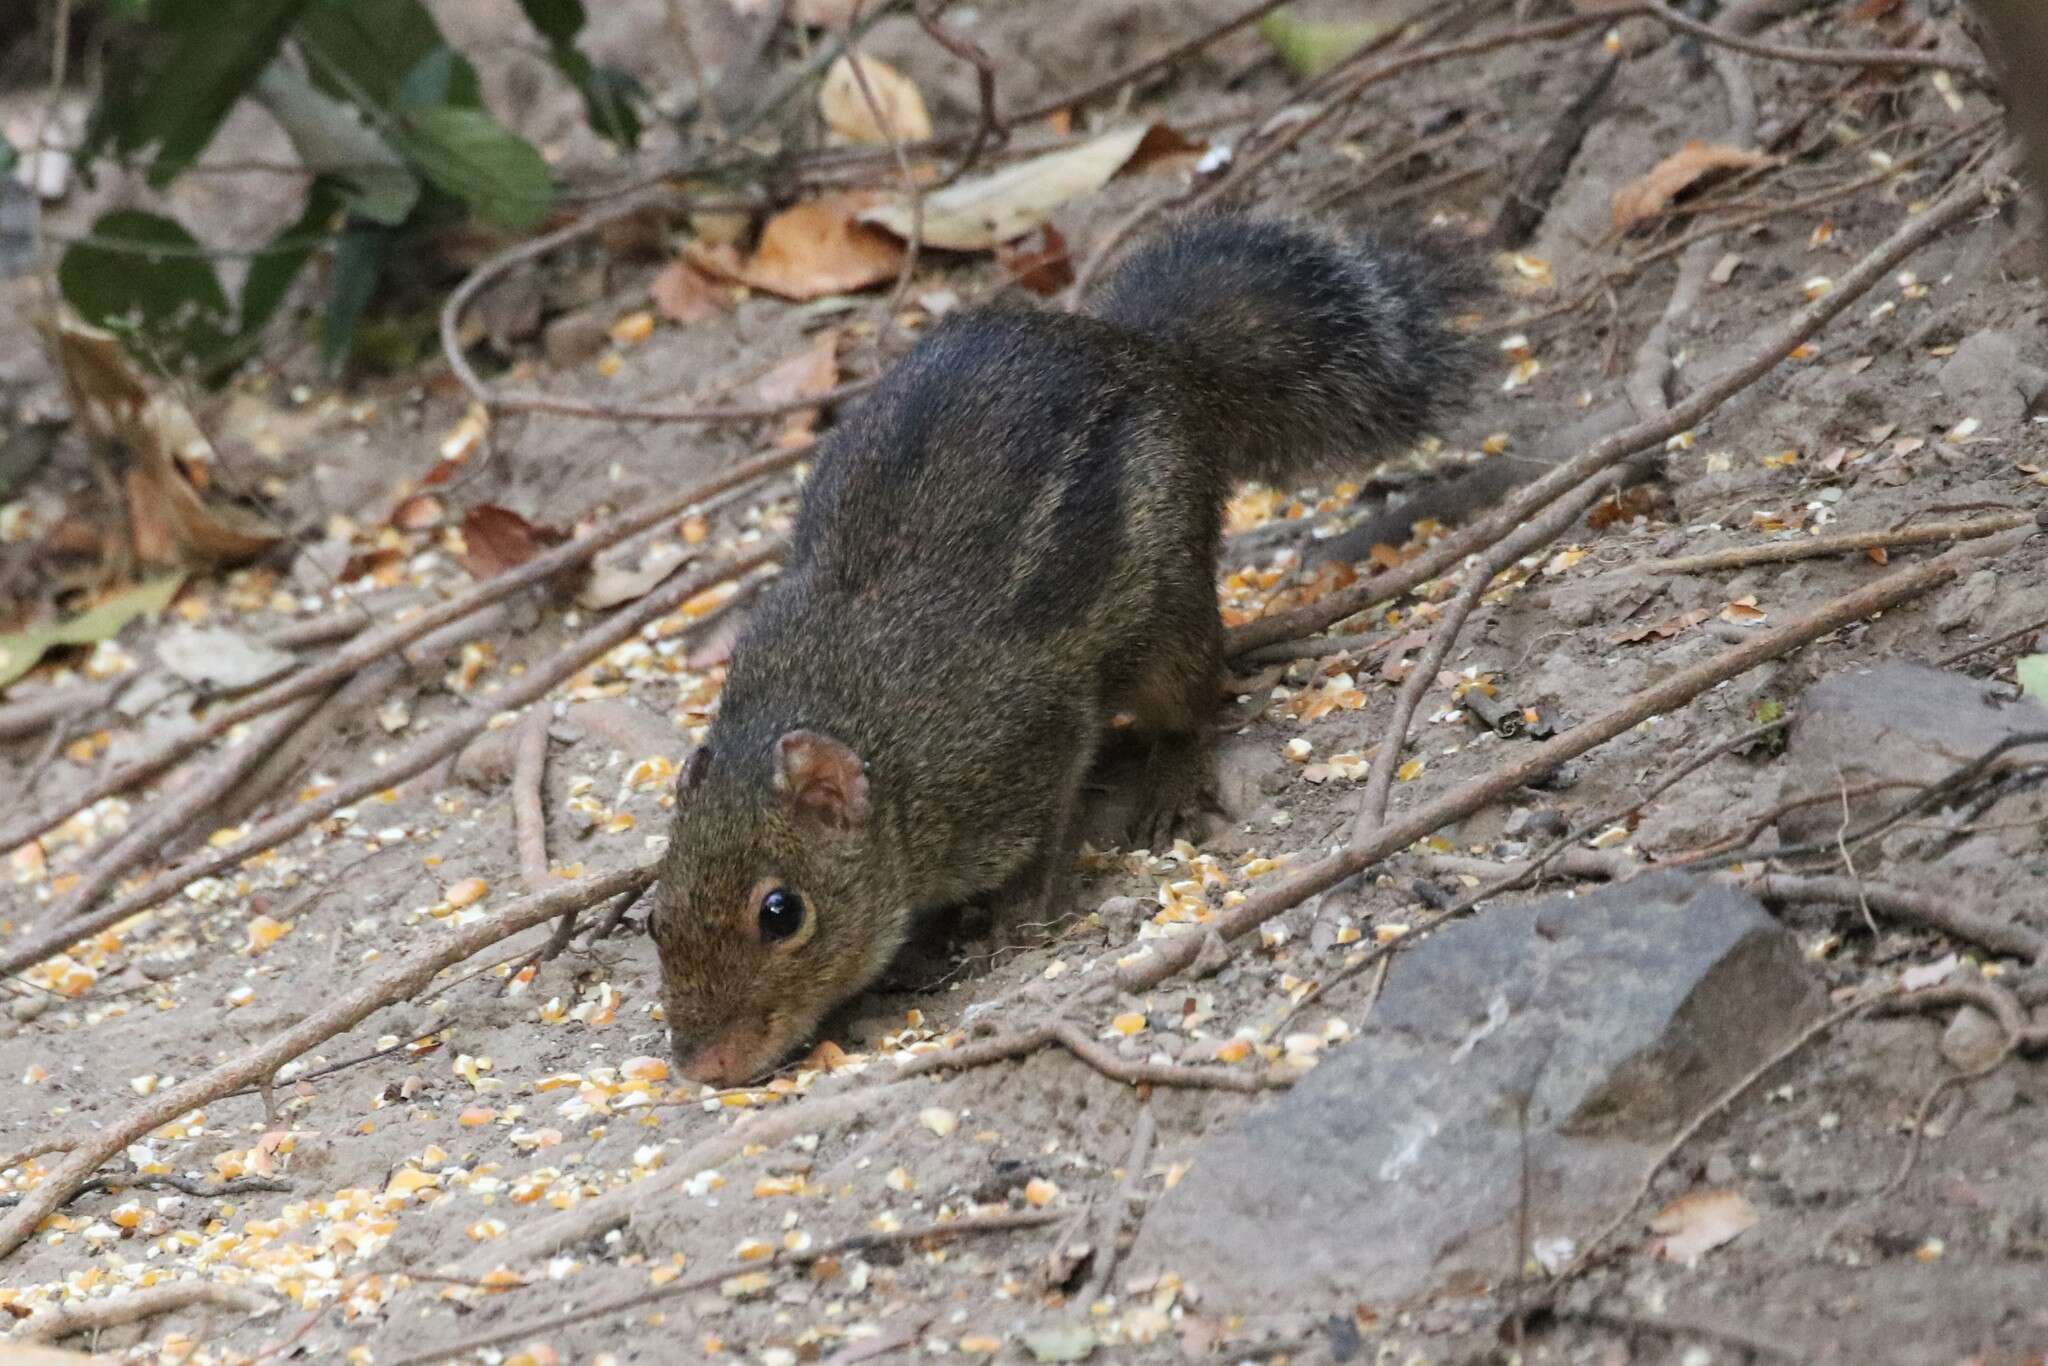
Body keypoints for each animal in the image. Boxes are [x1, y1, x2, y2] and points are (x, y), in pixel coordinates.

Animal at [655, 216, 1474, 1089]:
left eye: (782, 913)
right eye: (653, 921)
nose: (701, 1065)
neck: (875, 737)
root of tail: (1155, 352)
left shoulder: (1024, 746)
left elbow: (1043, 842)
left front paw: (1012, 924)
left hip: (1170, 616)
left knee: (1195, 699)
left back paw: (1169, 784)